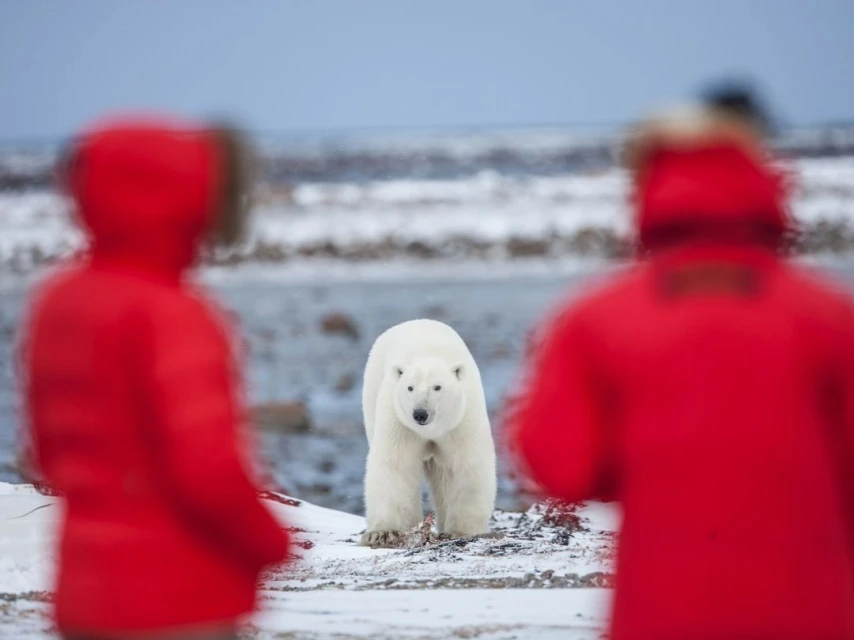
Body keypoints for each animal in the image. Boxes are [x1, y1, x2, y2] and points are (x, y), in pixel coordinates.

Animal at [360, 318, 497, 547]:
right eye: (410, 387)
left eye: (437, 387)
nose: (420, 413)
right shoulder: (399, 422)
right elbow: (395, 465)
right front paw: (382, 533)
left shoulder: (461, 420)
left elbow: (467, 464)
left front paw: (460, 531)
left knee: (443, 476)